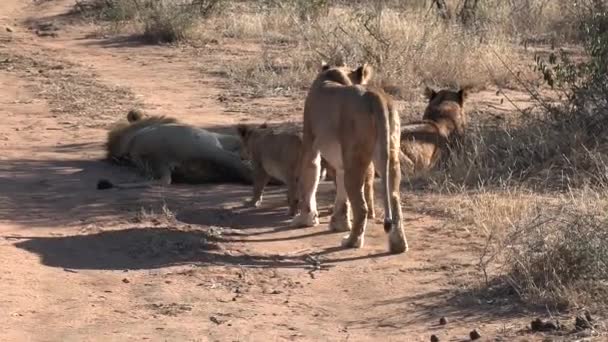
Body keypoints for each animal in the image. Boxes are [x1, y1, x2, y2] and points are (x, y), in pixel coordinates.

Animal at [290, 62, 408, 254]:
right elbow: (341, 190)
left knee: (361, 207)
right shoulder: (342, 161)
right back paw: (398, 245)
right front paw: (339, 222)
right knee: (395, 200)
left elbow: (309, 179)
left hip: (356, 159)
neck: (337, 74)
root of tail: (374, 96)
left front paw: (305, 219)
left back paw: (351, 241)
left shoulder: (310, 142)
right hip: (388, 154)